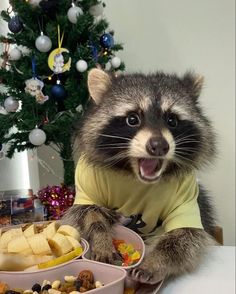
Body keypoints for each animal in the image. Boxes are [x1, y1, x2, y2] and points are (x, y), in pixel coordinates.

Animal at [62, 68, 216, 284]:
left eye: (172, 120)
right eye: (132, 119)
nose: (159, 146)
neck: (134, 175)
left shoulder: (186, 195)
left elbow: (186, 236)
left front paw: (156, 261)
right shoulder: (88, 182)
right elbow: (87, 214)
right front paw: (101, 238)